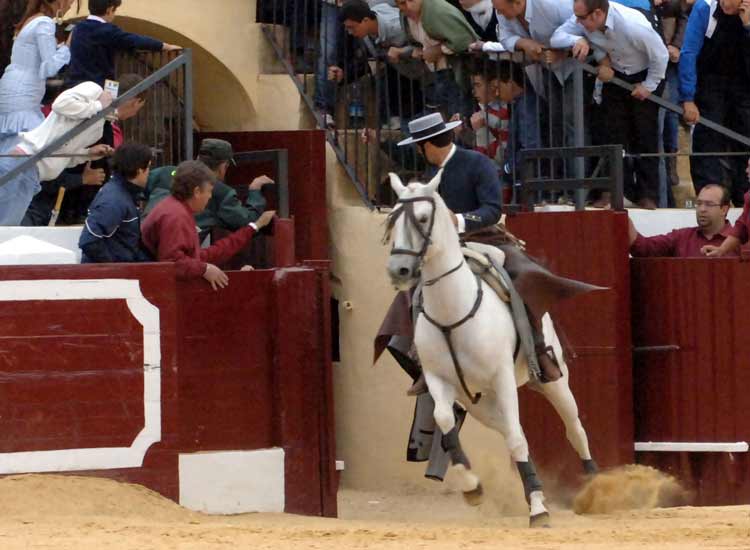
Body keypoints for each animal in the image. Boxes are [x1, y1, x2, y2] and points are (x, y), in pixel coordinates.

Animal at [388, 170, 600, 528]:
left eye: (423, 218)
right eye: (391, 218)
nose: (398, 270)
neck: (452, 312)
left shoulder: (501, 378)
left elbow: (517, 437)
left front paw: (538, 510)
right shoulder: (439, 381)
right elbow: (445, 422)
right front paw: (473, 488)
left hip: (553, 381)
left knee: (574, 429)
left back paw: (597, 486)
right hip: (480, 403)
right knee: (513, 431)